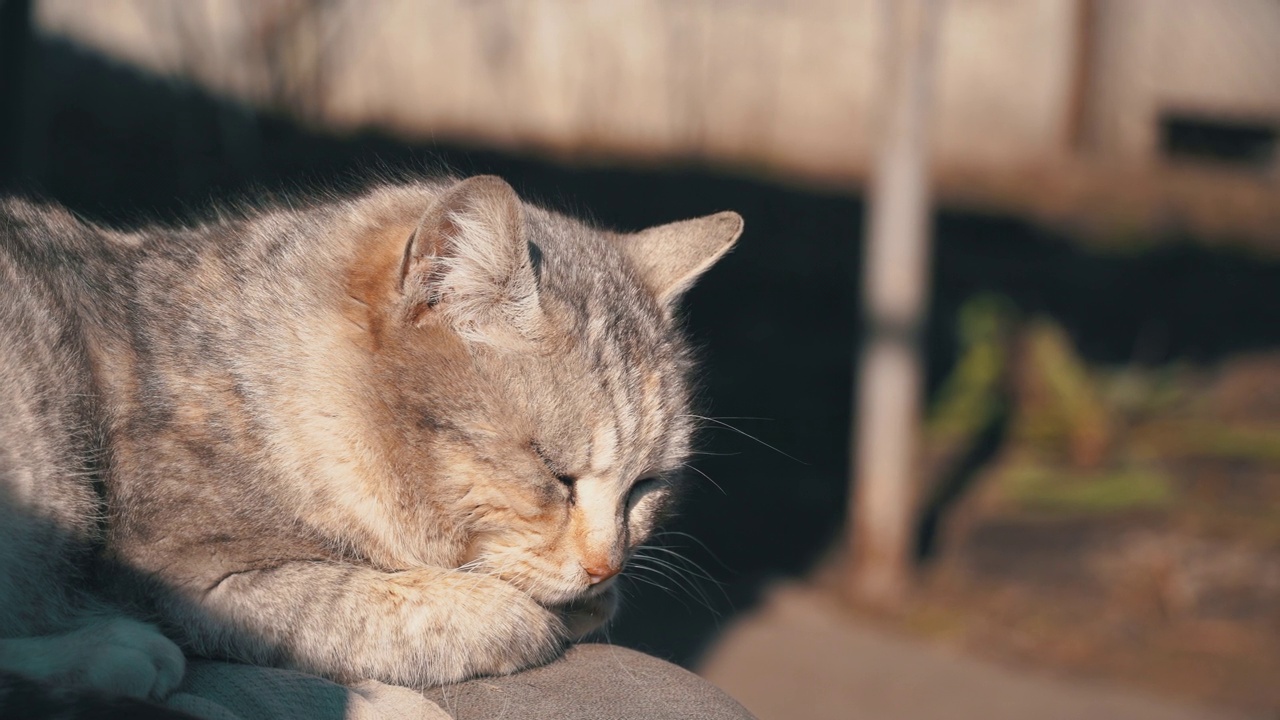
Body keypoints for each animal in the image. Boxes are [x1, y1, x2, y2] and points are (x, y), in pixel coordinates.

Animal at [0, 176, 742, 696]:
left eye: (646, 486)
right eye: (553, 476)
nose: (608, 566)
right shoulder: (194, 579)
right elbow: (396, 607)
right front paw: (523, 613)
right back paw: (116, 656)